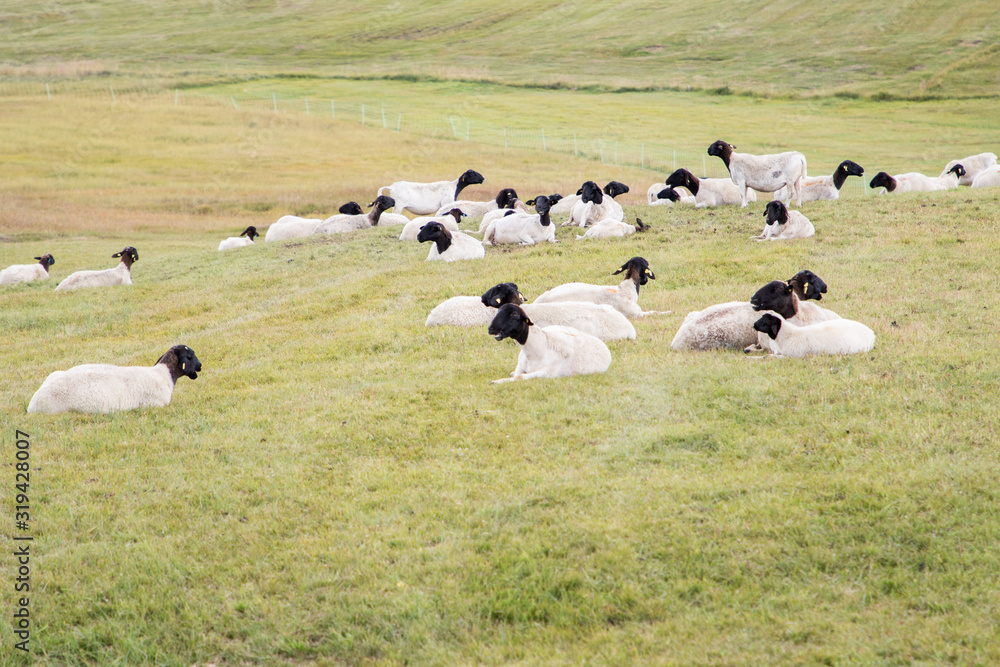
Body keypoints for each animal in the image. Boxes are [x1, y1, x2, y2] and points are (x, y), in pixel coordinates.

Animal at [533, 256, 665, 319]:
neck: (626, 290)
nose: (645, 281)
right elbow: (654, 312)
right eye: (647, 264)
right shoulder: (635, 314)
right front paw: (666, 312)